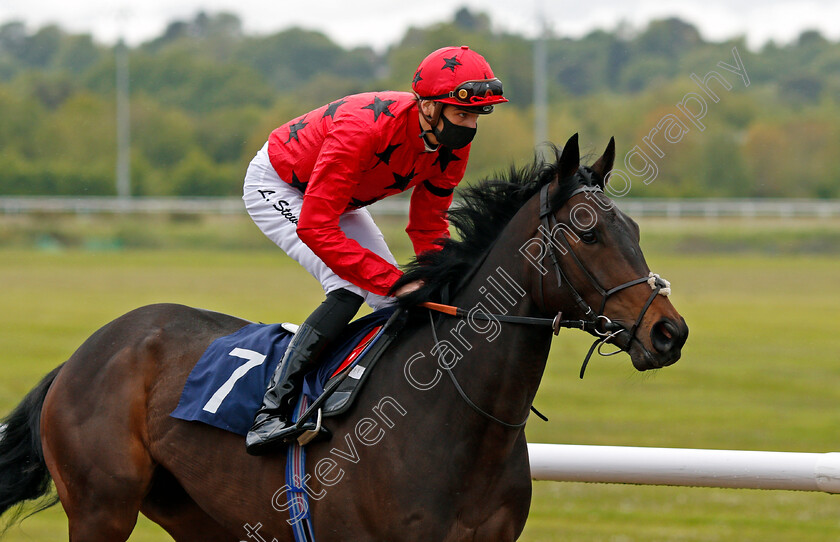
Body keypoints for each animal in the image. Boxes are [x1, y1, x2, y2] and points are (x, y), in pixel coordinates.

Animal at [0, 133, 684, 542]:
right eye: (588, 232)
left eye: (634, 228)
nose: (668, 331)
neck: (462, 418)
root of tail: (83, 353)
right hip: (101, 507)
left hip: (194, 512)